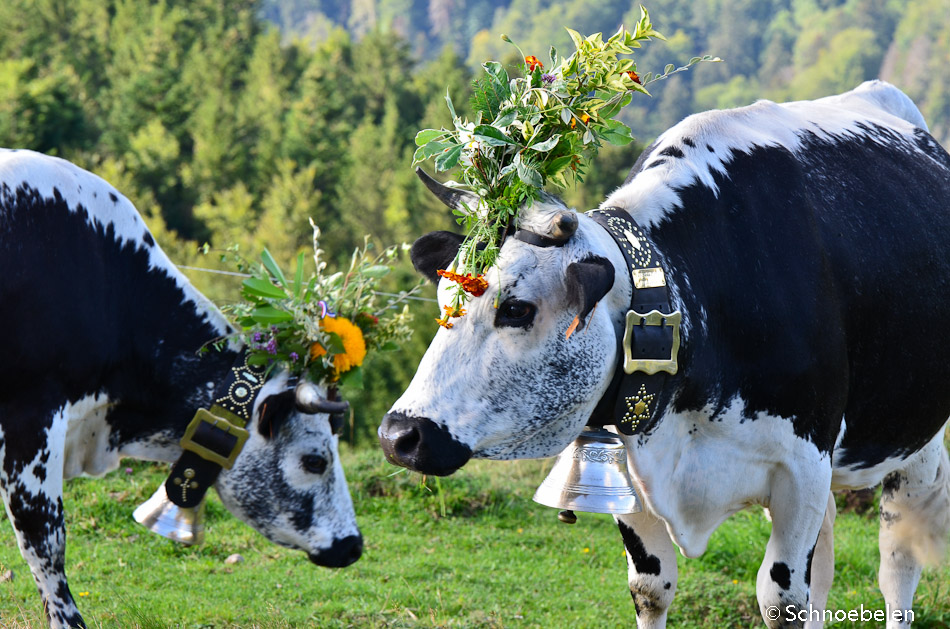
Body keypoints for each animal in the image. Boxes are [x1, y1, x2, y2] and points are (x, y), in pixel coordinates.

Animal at [380, 81, 950, 624]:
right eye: (443, 298)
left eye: (517, 309)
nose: (398, 436)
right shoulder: (627, 471)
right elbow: (651, 590)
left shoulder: (803, 469)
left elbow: (782, 599)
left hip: (915, 445)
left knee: (898, 568)